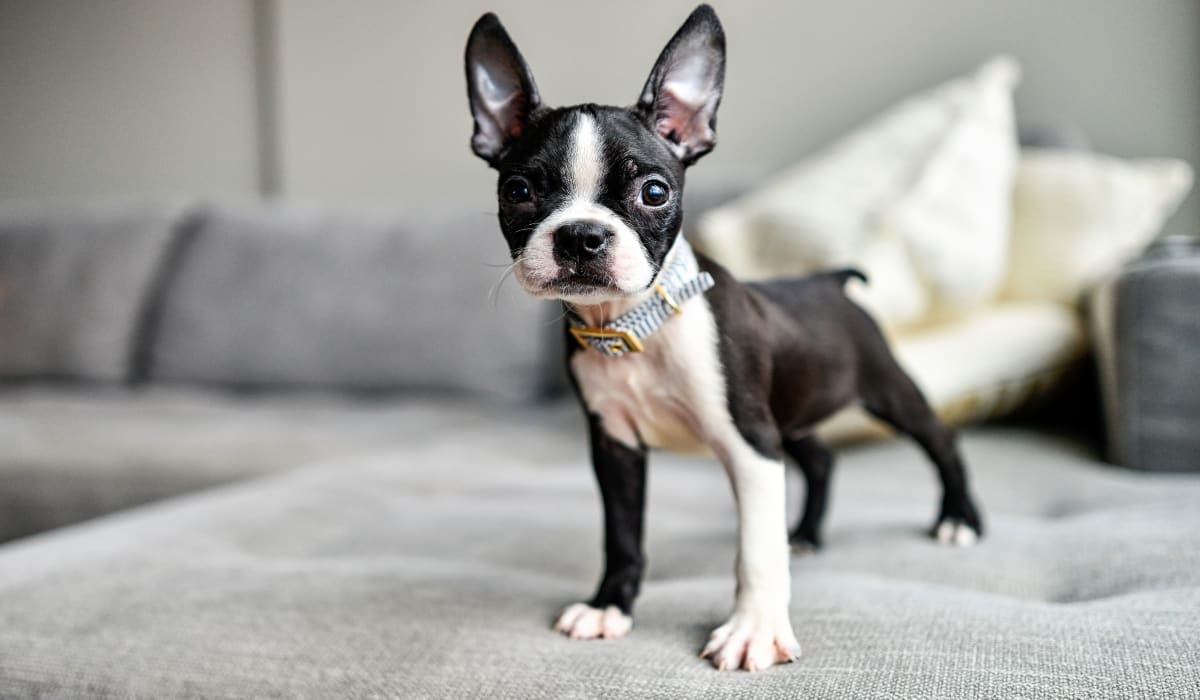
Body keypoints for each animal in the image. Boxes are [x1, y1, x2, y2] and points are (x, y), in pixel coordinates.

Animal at [463, 4, 979, 672]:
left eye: (654, 192)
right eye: (519, 191)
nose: (581, 235)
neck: (634, 324)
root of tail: (828, 280)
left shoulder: (751, 445)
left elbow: (755, 551)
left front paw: (753, 630)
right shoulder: (616, 445)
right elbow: (622, 535)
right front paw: (609, 607)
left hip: (886, 390)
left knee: (940, 441)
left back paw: (959, 518)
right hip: (792, 412)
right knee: (821, 458)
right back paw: (806, 534)